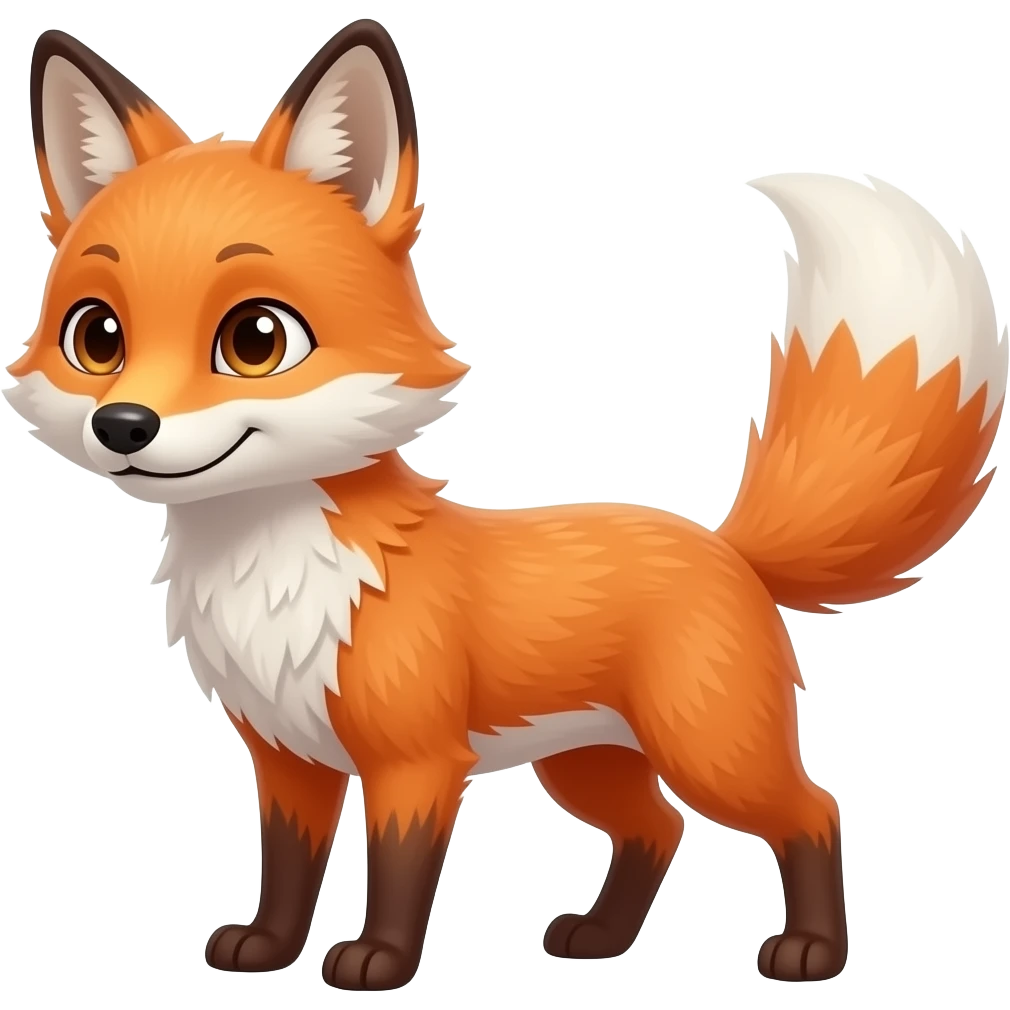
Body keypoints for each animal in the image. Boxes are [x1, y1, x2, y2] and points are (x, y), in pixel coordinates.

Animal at [9, 20, 1007, 991]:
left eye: (256, 340)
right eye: (97, 337)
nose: (123, 425)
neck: (272, 571)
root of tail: (727, 548)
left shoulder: (416, 762)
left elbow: (398, 872)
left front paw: (378, 963)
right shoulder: (288, 758)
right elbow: (287, 870)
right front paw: (267, 946)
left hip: (710, 750)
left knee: (813, 811)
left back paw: (810, 952)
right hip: (586, 763)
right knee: (659, 830)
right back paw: (601, 937)